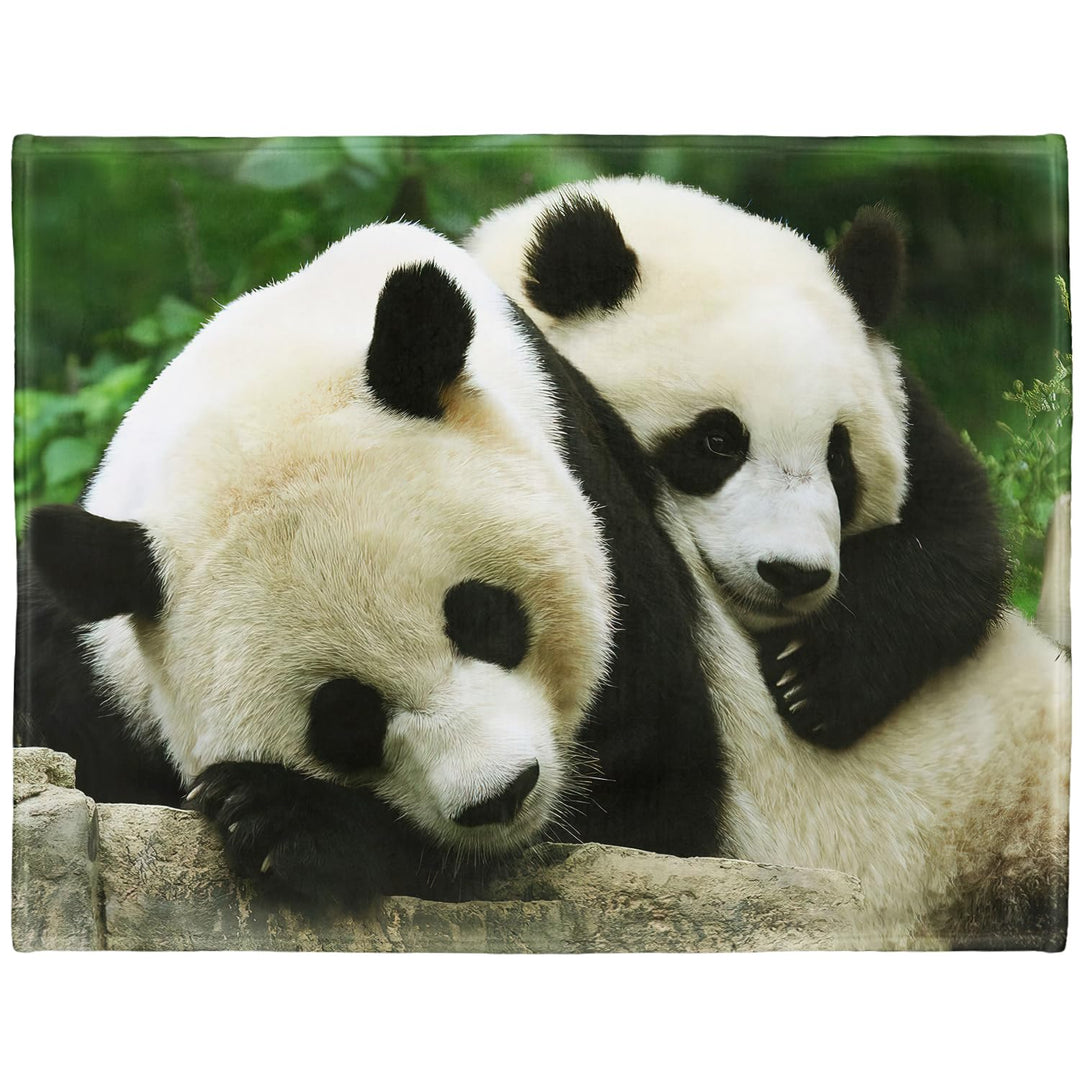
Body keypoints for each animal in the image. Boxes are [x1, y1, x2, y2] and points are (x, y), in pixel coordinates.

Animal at [15, 220, 726, 910]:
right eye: (346, 721)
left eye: (485, 618)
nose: (502, 794)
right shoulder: (84, 672)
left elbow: (649, 807)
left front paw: (283, 818)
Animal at [468, 175, 1070, 948]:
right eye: (717, 441)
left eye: (839, 458)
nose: (793, 573)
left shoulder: (908, 408)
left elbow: (959, 536)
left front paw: (817, 677)